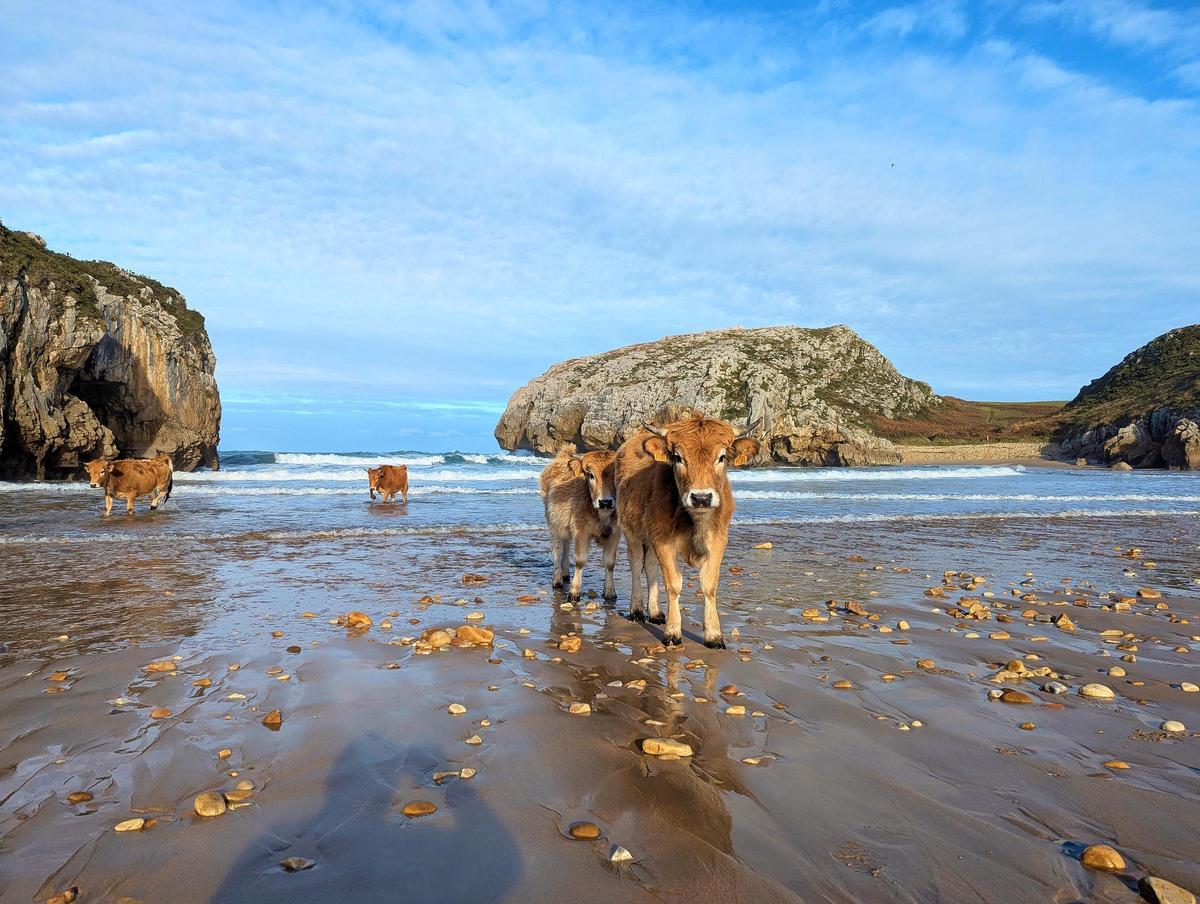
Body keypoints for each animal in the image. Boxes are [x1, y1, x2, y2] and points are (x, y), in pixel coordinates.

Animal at [539, 443, 620, 602]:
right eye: (591, 475)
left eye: (614, 475)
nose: (605, 502)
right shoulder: (581, 530)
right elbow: (580, 560)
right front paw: (574, 592)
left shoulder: (615, 533)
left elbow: (610, 563)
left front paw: (609, 592)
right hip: (553, 524)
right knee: (557, 549)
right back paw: (557, 579)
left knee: (566, 545)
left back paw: (565, 573)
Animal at [615, 414, 760, 648]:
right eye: (677, 457)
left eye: (721, 457)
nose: (701, 497)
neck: (696, 523)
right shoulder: (663, 540)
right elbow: (673, 584)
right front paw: (673, 631)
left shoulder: (718, 539)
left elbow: (709, 584)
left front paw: (714, 634)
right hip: (631, 531)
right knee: (636, 564)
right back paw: (636, 610)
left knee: (651, 566)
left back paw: (655, 612)